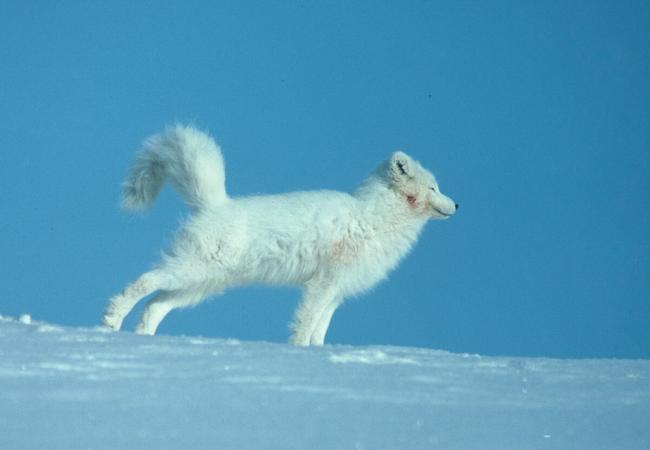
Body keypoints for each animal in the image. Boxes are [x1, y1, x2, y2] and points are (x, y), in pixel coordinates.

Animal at [101, 125, 456, 346]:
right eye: (434, 188)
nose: (458, 204)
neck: (375, 218)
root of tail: (215, 203)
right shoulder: (323, 284)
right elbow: (306, 322)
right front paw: (297, 350)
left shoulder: (337, 291)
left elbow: (320, 330)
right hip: (193, 271)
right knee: (143, 282)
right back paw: (112, 318)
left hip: (200, 285)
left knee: (154, 306)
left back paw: (143, 339)